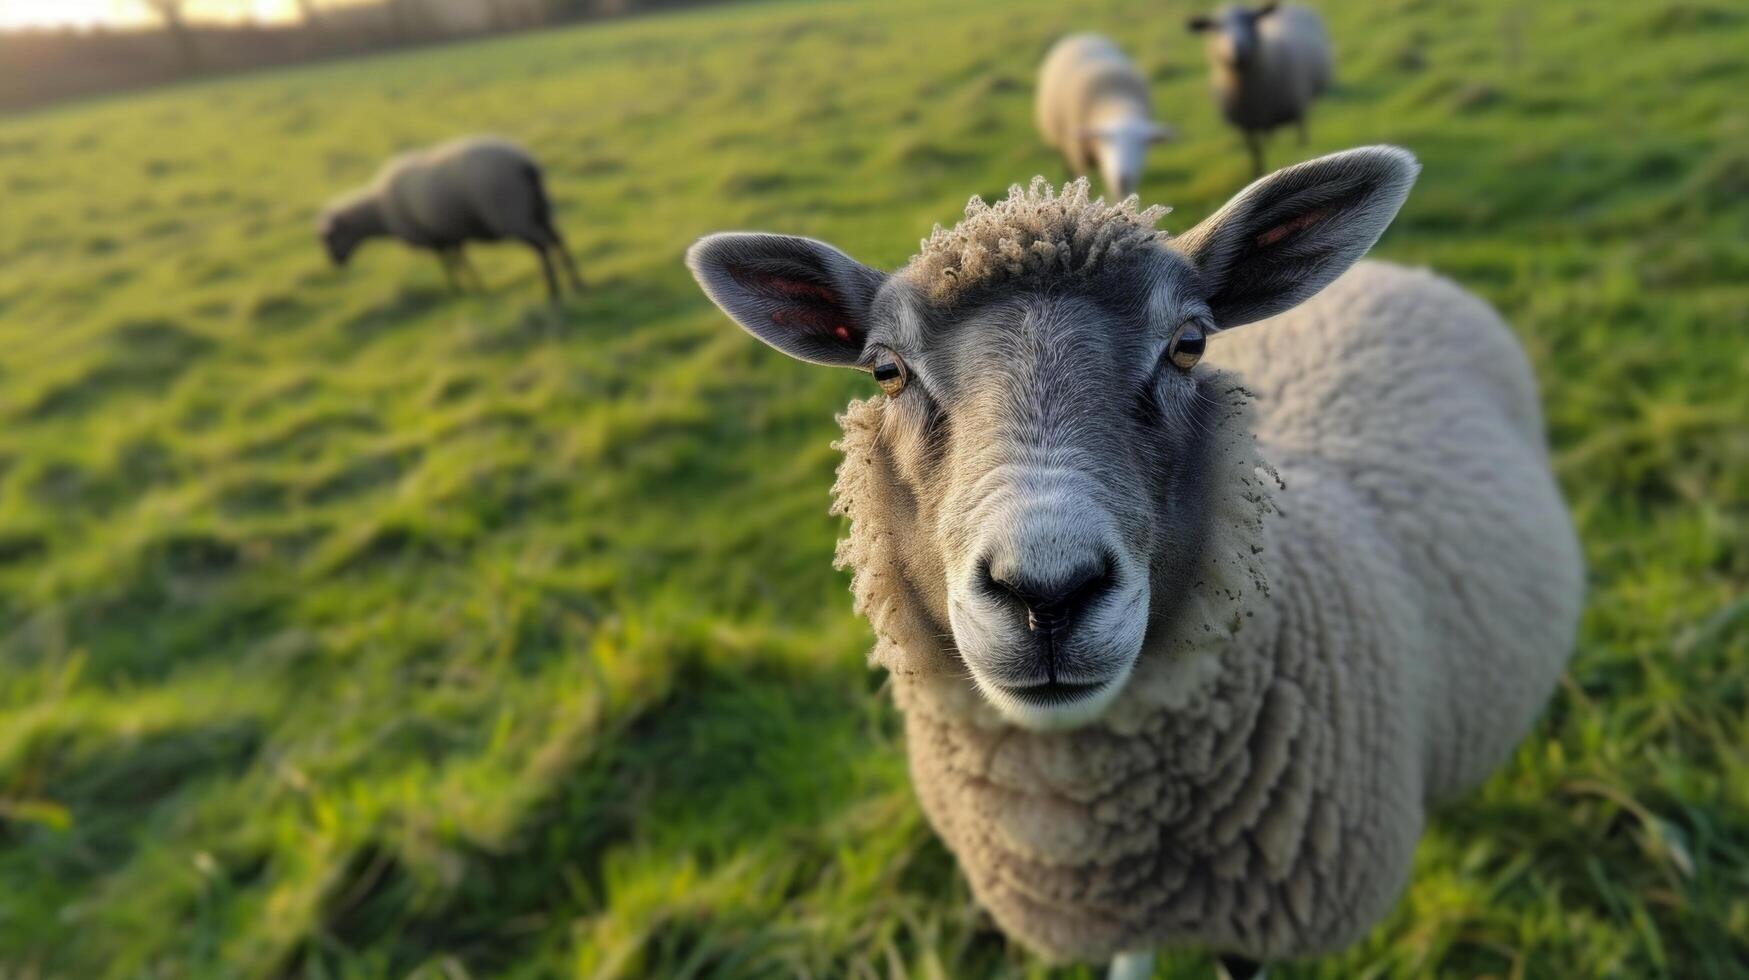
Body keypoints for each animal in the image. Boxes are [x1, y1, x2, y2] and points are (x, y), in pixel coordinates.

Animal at [318, 133, 584, 301]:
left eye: (329, 238)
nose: (335, 264)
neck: (379, 210)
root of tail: (524, 163)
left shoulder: (435, 238)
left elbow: (448, 265)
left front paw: (458, 290)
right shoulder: (450, 233)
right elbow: (461, 260)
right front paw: (478, 288)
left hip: (511, 213)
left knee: (541, 245)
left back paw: (553, 291)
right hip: (539, 209)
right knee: (557, 239)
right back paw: (577, 283)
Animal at [1035, 33, 1175, 201]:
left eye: (1142, 144)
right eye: (1108, 141)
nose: (1123, 179)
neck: (1116, 103)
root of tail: (1084, 35)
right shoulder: (1079, 155)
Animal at [1189, 2, 1336, 175]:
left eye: (1251, 19)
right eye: (1215, 26)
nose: (1238, 50)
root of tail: (1291, 5)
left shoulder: (1298, 110)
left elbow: (1302, 140)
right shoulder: (1246, 127)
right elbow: (1255, 153)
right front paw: (1257, 170)